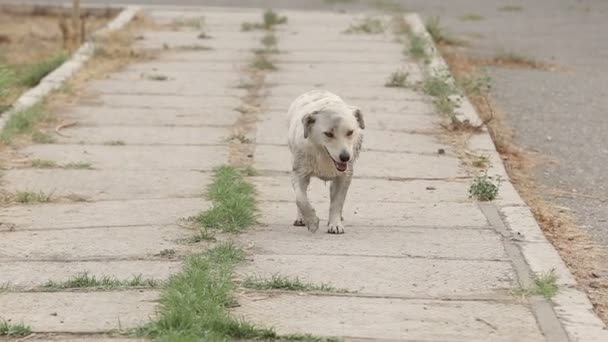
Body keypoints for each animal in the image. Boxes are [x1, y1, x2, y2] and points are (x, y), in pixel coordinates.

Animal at [286, 89, 364, 234]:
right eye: (328, 134)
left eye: (350, 132)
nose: (345, 157)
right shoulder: (299, 171)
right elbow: (300, 198)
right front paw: (311, 221)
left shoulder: (345, 175)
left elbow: (337, 201)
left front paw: (335, 224)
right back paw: (301, 219)